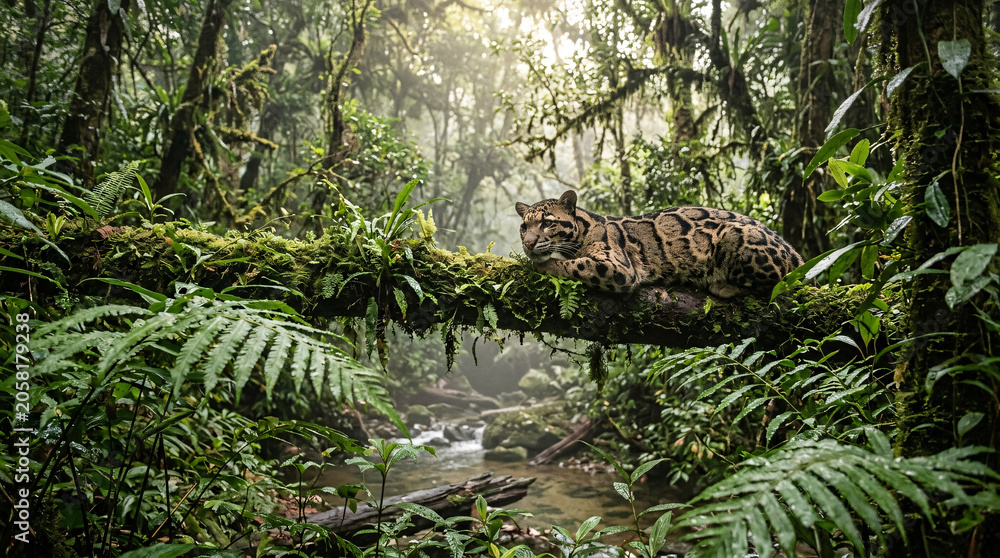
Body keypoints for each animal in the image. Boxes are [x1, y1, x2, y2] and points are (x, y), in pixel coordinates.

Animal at [515, 190, 804, 298]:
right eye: (523, 227)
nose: (528, 244)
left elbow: (574, 265)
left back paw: (724, 286)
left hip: (734, 236)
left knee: (778, 281)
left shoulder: (619, 268)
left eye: (547, 223)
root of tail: (793, 251)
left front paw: (545, 265)